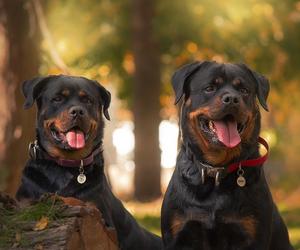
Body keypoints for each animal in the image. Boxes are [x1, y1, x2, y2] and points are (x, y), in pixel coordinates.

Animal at [15, 75, 162, 250]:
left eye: (88, 100)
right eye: (57, 98)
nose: (77, 111)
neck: (65, 164)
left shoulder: (103, 220)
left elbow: (78, 201)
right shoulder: (23, 202)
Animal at [162, 61, 292, 250]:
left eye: (244, 90)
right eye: (209, 88)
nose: (232, 99)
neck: (216, 170)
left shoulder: (252, 236)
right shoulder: (178, 236)